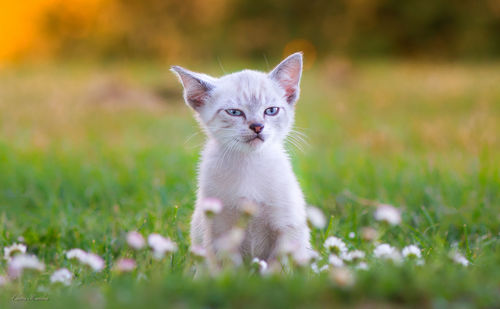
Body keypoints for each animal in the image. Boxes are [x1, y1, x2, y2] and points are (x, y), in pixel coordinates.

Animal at [174, 51, 310, 262]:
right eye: (234, 112)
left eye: (271, 110)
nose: (257, 126)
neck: (249, 163)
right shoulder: (219, 232)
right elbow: (227, 268)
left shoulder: (286, 227)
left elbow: (278, 266)